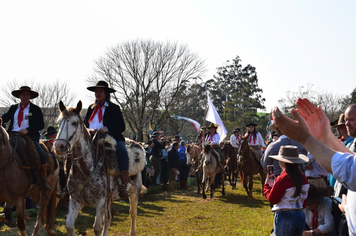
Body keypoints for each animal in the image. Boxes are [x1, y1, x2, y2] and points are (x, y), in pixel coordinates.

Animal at [54, 101, 146, 236]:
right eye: (58, 122)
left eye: (74, 123)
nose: (58, 146)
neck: (85, 169)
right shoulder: (75, 201)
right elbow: (69, 225)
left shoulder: (100, 202)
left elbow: (97, 228)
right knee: (108, 218)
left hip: (134, 191)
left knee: (133, 213)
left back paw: (132, 232)